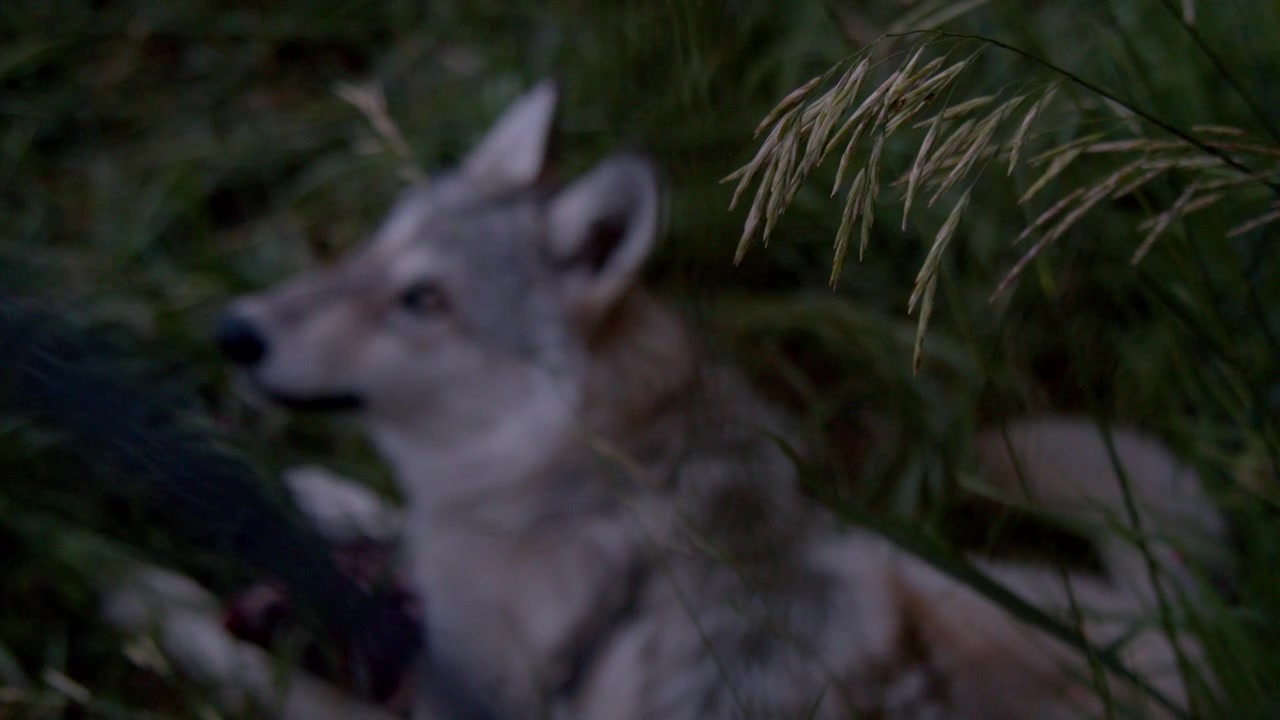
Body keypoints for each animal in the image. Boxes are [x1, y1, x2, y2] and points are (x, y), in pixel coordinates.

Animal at [205, 80, 1223, 719]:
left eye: (422, 300)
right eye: (368, 253)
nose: (233, 332)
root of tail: (1199, 635)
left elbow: (231, 652)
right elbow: (370, 531)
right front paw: (312, 494)